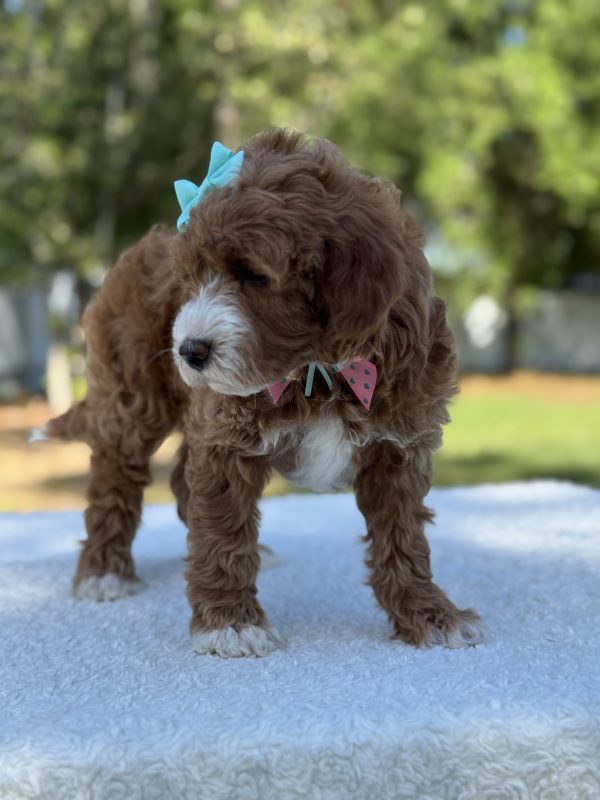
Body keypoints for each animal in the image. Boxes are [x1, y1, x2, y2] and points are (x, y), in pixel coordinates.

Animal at [43, 128, 484, 657]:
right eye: (189, 280)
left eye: (253, 275)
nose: (188, 350)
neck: (318, 368)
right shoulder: (226, 434)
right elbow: (224, 531)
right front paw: (230, 623)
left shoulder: (399, 445)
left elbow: (403, 538)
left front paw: (430, 614)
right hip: (133, 395)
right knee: (116, 477)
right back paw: (104, 571)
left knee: (180, 480)